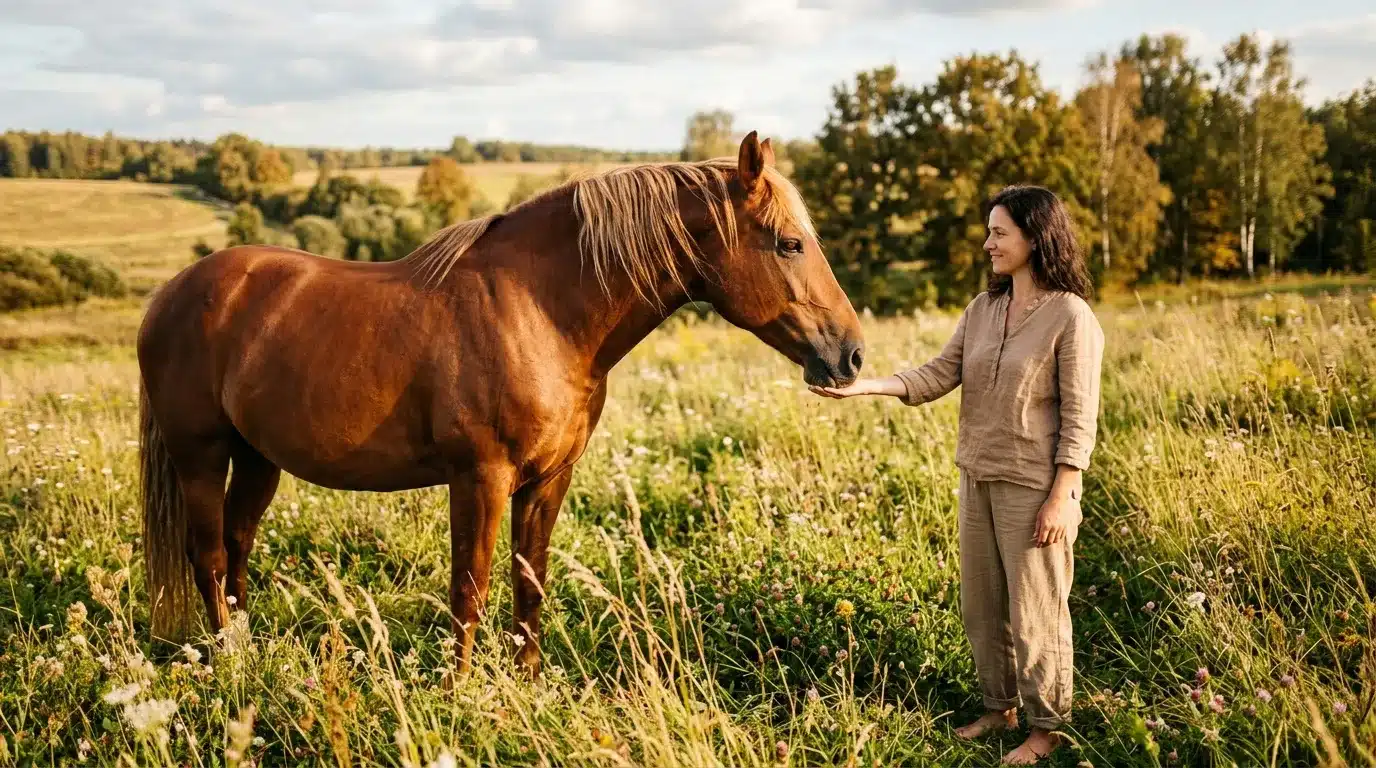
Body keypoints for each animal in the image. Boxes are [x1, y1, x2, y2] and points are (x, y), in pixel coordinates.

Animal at [136, 131, 865, 676]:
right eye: (790, 243)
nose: (852, 355)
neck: (539, 312)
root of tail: (173, 292)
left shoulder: (548, 479)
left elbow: (528, 581)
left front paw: (528, 682)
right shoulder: (479, 478)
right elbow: (472, 586)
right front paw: (460, 693)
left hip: (259, 458)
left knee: (237, 547)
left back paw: (246, 652)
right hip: (201, 457)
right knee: (209, 557)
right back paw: (229, 662)